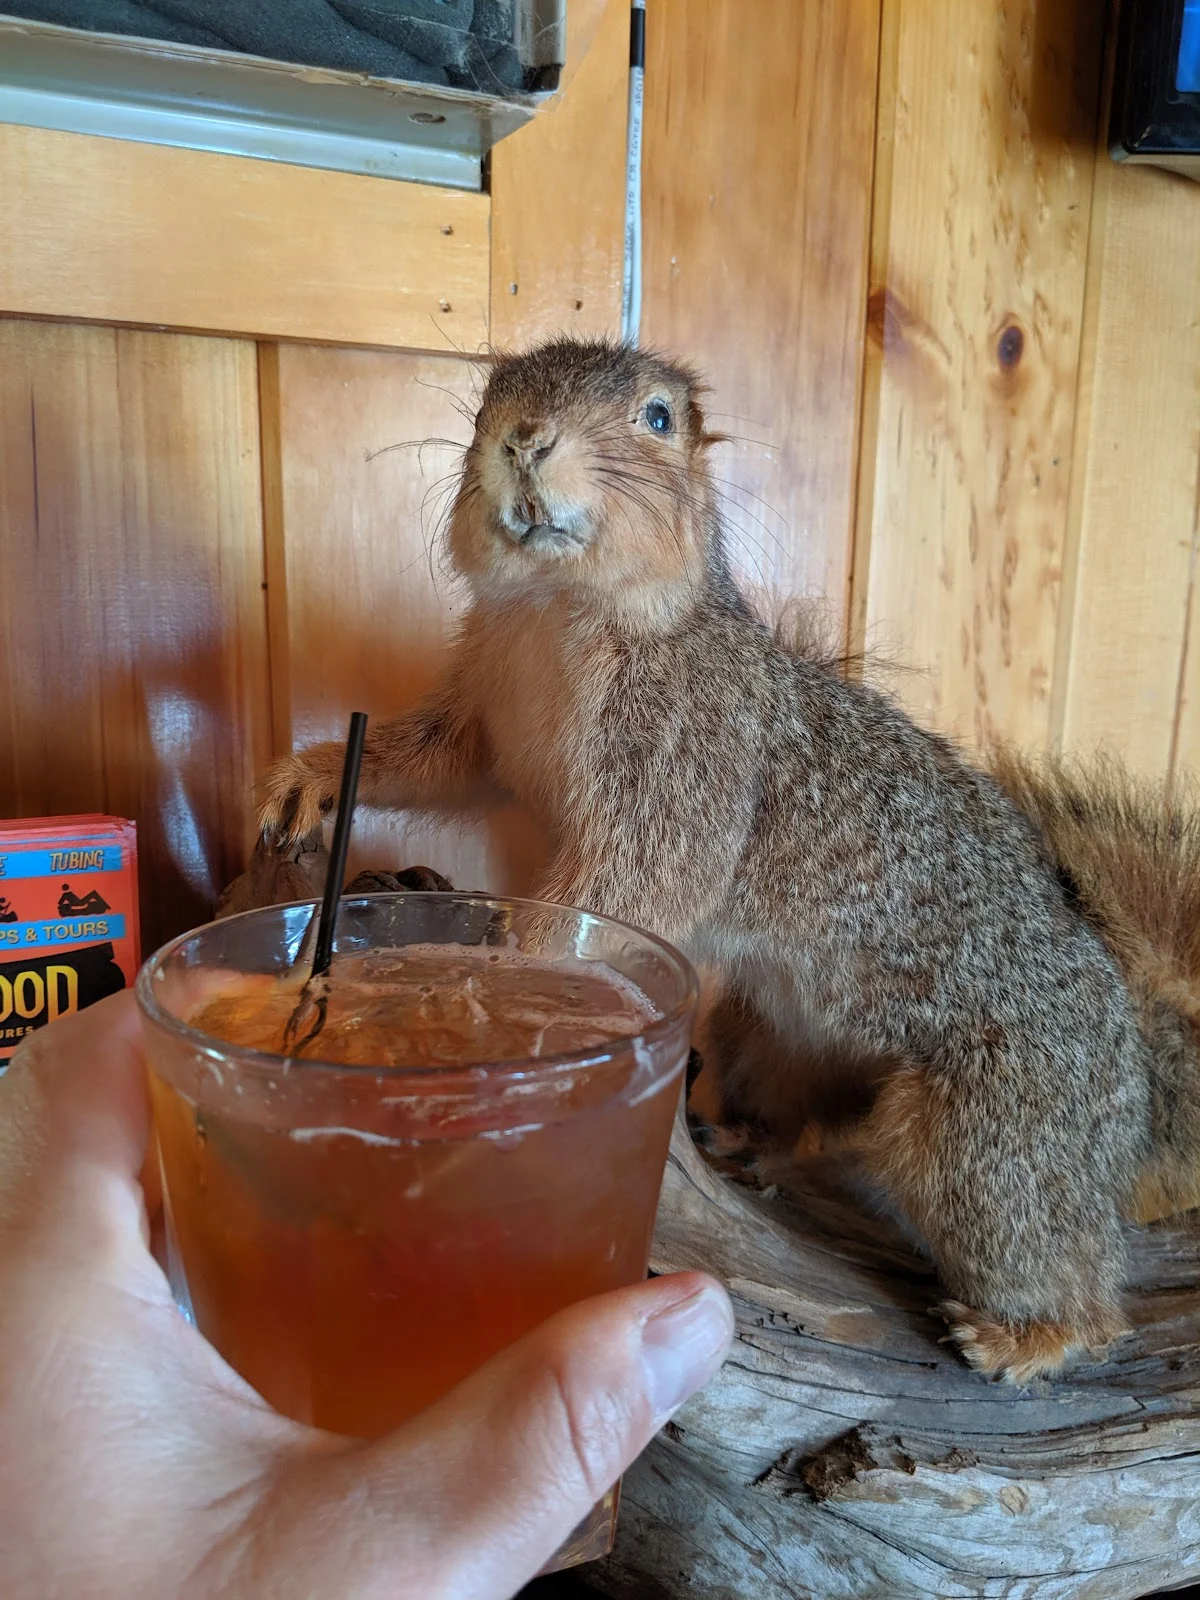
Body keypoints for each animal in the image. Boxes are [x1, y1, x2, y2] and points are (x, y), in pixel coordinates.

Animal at [259, 337, 1200, 1383]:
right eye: (482, 405)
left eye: (660, 418)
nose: (524, 440)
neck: (554, 611)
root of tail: (1132, 1065)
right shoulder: (483, 715)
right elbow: (432, 762)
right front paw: (313, 779)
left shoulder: (691, 754)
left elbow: (635, 881)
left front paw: (511, 967)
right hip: (768, 1041)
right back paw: (753, 1145)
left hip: (998, 1133)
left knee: (1071, 1275)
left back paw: (1022, 1336)